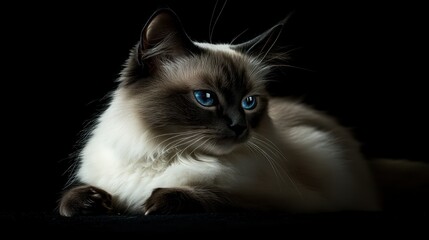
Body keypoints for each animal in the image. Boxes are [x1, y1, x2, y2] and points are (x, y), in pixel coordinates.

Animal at [57, 9, 424, 217]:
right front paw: (91, 203)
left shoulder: (286, 202)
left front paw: (158, 201)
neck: (164, 152)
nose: (238, 128)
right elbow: (72, 198)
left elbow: (221, 197)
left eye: (249, 103)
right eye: (205, 98)